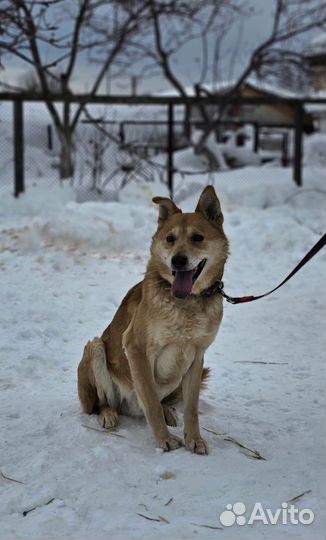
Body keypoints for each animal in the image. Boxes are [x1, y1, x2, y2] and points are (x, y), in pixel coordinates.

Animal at [77, 188, 228, 454]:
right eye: (170, 238)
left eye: (198, 238)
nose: (178, 260)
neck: (186, 302)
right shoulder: (135, 348)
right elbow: (150, 401)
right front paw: (164, 439)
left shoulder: (196, 356)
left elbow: (191, 408)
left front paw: (194, 439)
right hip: (95, 347)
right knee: (102, 403)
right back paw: (108, 414)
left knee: (164, 401)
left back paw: (169, 411)